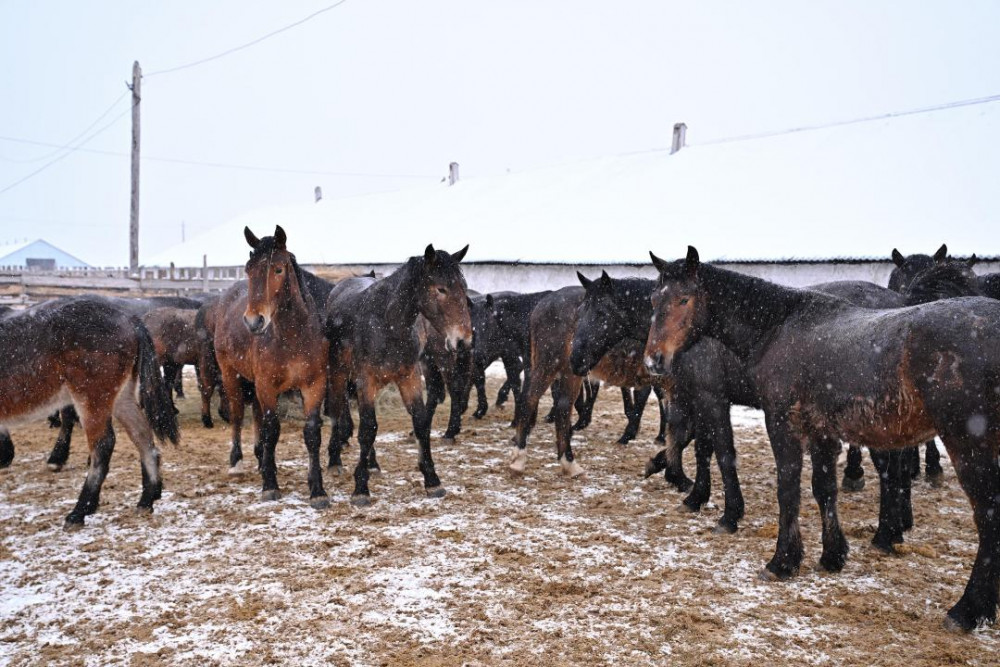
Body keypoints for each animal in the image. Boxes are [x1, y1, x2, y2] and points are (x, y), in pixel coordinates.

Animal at [0, 296, 178, 528]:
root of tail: (129, 318)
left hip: (91, 398)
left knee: (103, 445)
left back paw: (79, 511)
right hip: (120, 397)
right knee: (142, 437)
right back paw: (146, 499)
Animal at [213, 227, 330, 508]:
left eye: (278, 269)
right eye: (248, 269)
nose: (254, 321)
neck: (293, 337)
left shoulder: (314, 385)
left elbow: (311, 432)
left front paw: (317, 490)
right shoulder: (267, 385)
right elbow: (272, 429)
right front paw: (270, 486)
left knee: (255, 416)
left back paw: (260, 460)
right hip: (230, 374)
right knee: (237, 415)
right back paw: (237, 462)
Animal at [324, 245, 472, 506]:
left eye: (463, 288)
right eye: (441, 289)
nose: (463, 341)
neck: (387, 324)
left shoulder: (409, 377)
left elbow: (421, 423)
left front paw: (432, 480)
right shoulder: (365, 381)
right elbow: (367, 428)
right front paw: (360, 488)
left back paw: (372, 462)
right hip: (339, 373)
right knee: (337, 408)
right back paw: (335, 461)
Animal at [644, 248, 1000, 636]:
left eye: (684, 299)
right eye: (654, 299)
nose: (654, 359)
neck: (778, 326)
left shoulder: (772, 420)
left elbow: (783, 488)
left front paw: (781, 560)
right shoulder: (821, 431)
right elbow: (823, 489)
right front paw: (832, 555)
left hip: (968, 445)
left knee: (985, 516)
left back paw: (965, 610)